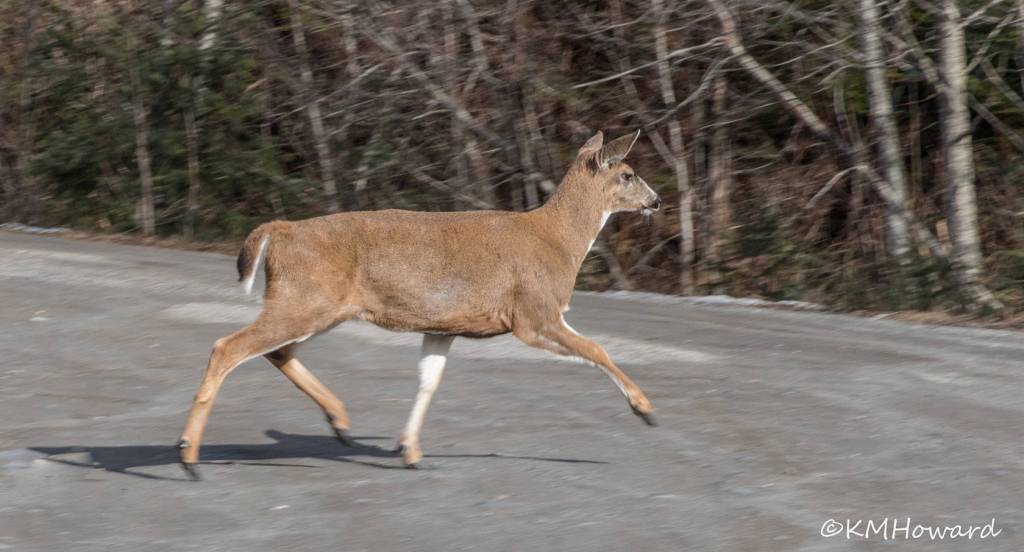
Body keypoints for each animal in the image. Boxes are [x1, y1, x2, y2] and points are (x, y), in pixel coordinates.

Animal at [176, 130, 662, 479]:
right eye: (627, 174)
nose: (656, 201)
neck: (558, 243)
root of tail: (279, 231)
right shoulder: (532, 311)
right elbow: (596, 348)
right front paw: (645, 410)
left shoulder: (443, 326)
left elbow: (429, 381)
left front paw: (409, 450)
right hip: (306, 298)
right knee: (229, 346)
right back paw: (189, 457)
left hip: (317, 303)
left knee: (276, 351)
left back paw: (340, 423)